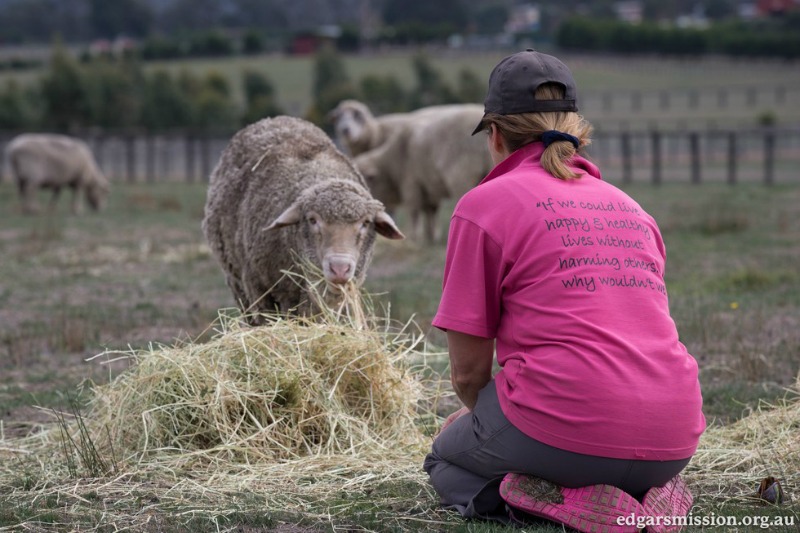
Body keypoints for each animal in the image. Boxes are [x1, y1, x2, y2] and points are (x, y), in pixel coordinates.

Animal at [203, 115, 404, 324]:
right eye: (313, 220)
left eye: (365, 223)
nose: (339, 268)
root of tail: (272, 119)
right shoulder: (258, 288)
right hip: (236, 280)